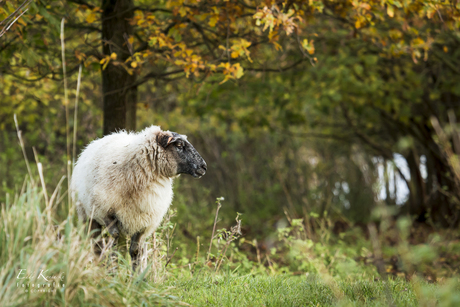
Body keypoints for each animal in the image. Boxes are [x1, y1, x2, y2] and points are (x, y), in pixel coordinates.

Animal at [71, 126, 208, 270]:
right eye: (179, 145)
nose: (204, 167)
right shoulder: (106, 213)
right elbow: (113, 244)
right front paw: (113, 269)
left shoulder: (143, 223)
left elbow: (135, 251)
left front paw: (137, 274)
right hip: (88, 216)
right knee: (96, 244)